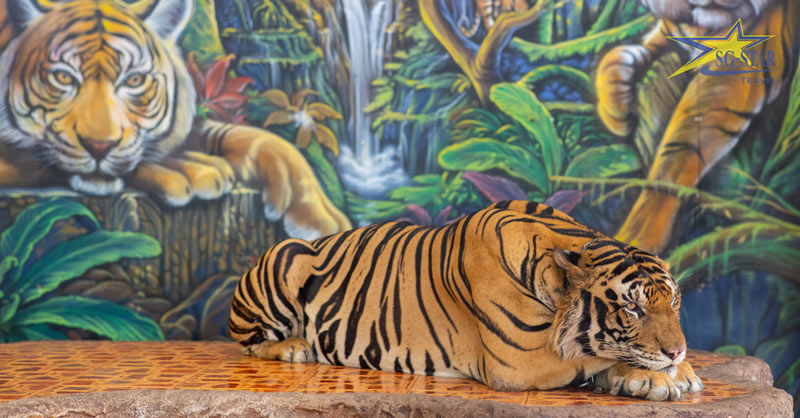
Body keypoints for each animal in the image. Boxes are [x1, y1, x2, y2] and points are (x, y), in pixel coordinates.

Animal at [0, 0, 351, 240]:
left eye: (134, 80)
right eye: (62, 78)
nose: (100, 146)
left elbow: (264, 141)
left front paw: (324, 220)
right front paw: (190, 170)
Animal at [229, 200, 704, 400]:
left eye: (674, 303)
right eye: (631, 308)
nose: (677, 350)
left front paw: (681, 371)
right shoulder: (519, 363)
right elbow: (595, 356)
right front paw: (658, 377)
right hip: (286, 257)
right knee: (250, 343)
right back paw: (294, 347)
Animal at [595, 0, 798, 253]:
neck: (697, 25)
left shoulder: (729, 76)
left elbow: (674, 157)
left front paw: (636, 236)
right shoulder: (667, 36)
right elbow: (611, 60)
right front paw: (617, 108)